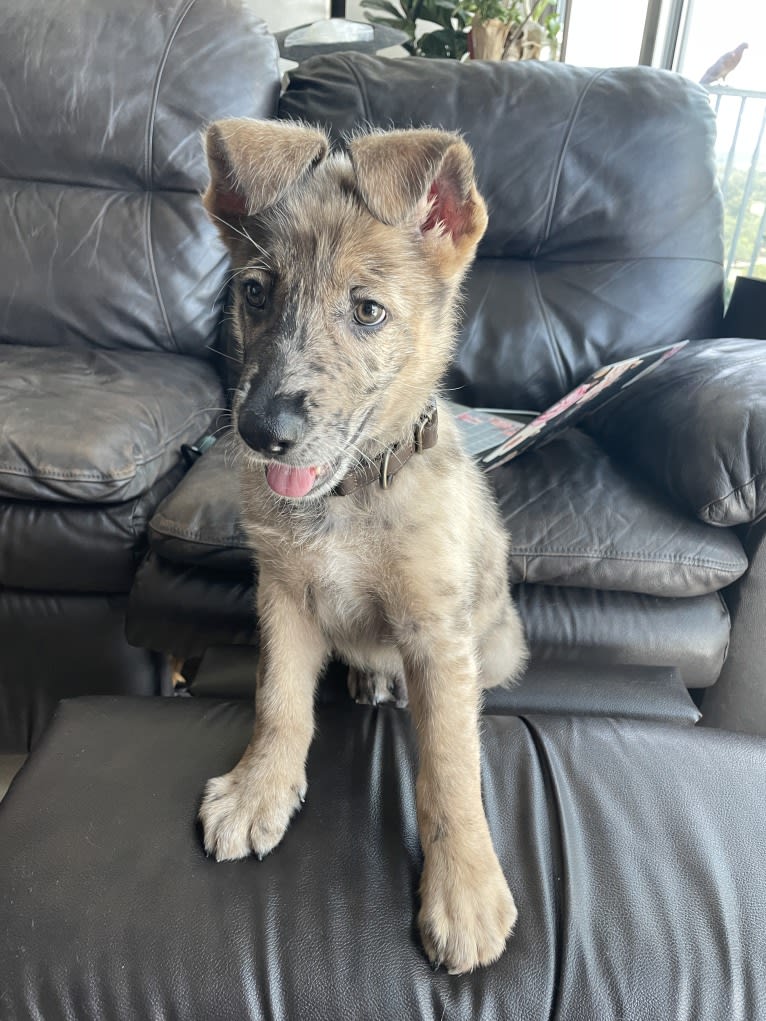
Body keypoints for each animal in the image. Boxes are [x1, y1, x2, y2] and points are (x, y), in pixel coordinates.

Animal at [199, 119, 527, 971]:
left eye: (368, 311)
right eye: (255, 292)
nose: (262, 431)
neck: (349, 496)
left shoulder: (437, 632)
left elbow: (452, 765)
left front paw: (465, 886)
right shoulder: (282, 593)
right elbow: (278, 701)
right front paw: (259, 788)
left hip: (495, 641)